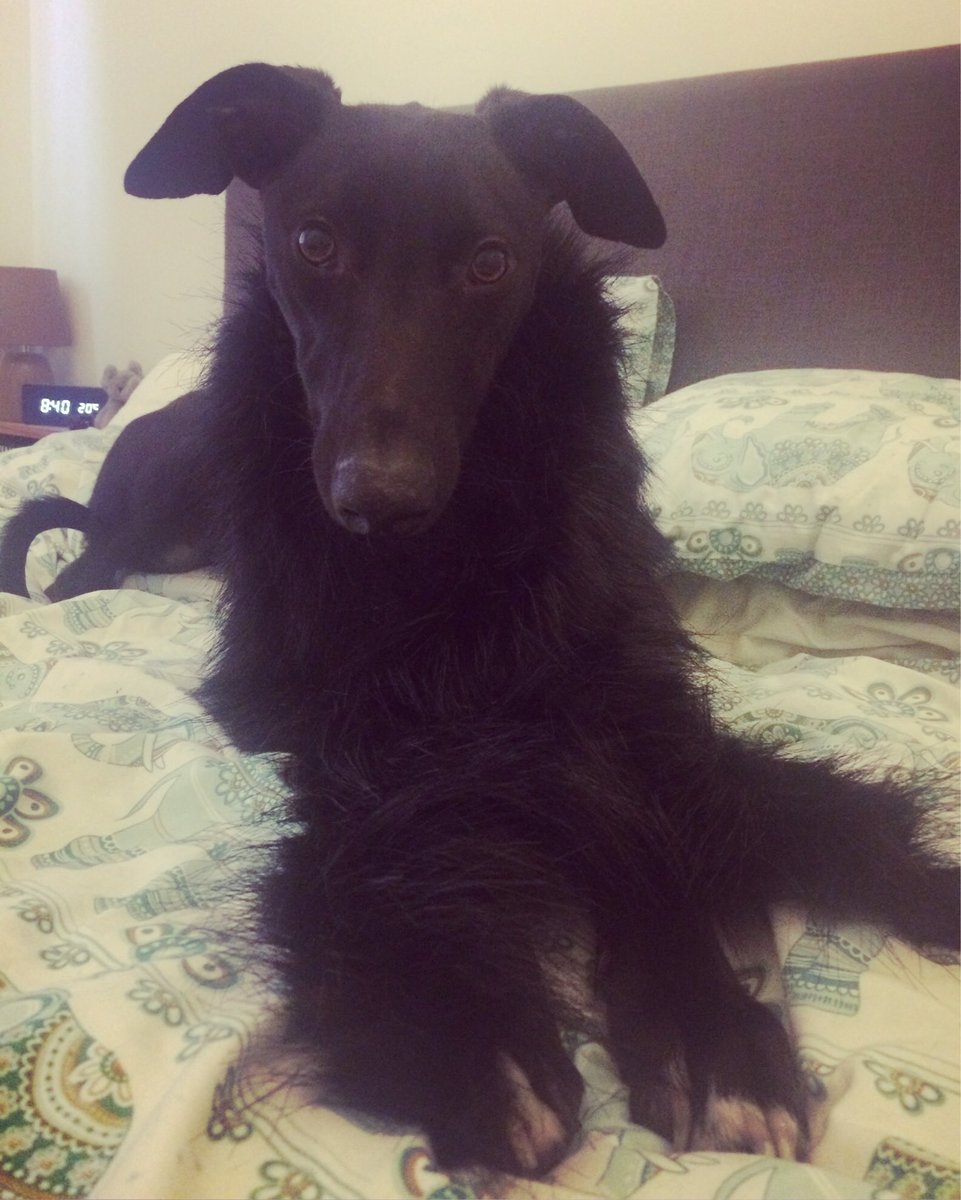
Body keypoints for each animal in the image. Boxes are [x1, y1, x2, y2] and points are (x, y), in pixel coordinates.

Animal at [121, 64, 958, 1177]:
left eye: (489, 263)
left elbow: (637, 813)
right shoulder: (317, 710)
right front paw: (456, 1021)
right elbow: (380, 815)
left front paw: (703, 1023)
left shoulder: (607, 693)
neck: (444, 565)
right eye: (313, 243)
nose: (375, 499)